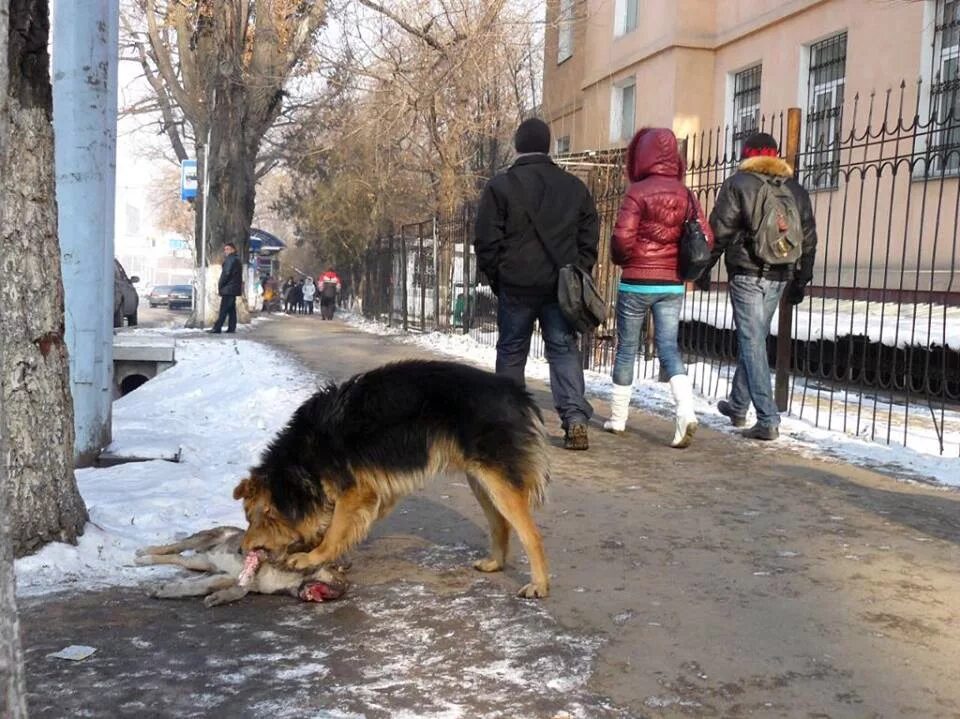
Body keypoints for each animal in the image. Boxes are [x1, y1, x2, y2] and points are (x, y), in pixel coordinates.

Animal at [232, 358, 552, 596]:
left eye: (253, 518)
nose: (240, 550)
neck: (300, 460)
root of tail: (516, 393)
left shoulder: (355, 493)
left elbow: (334, 531)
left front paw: (313, 557)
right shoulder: (377, 494)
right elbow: (336, 527)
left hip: (498, 484)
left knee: (531, 534)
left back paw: (539, 585)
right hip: (481, 481)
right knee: (500, 524)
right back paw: (495, 563)